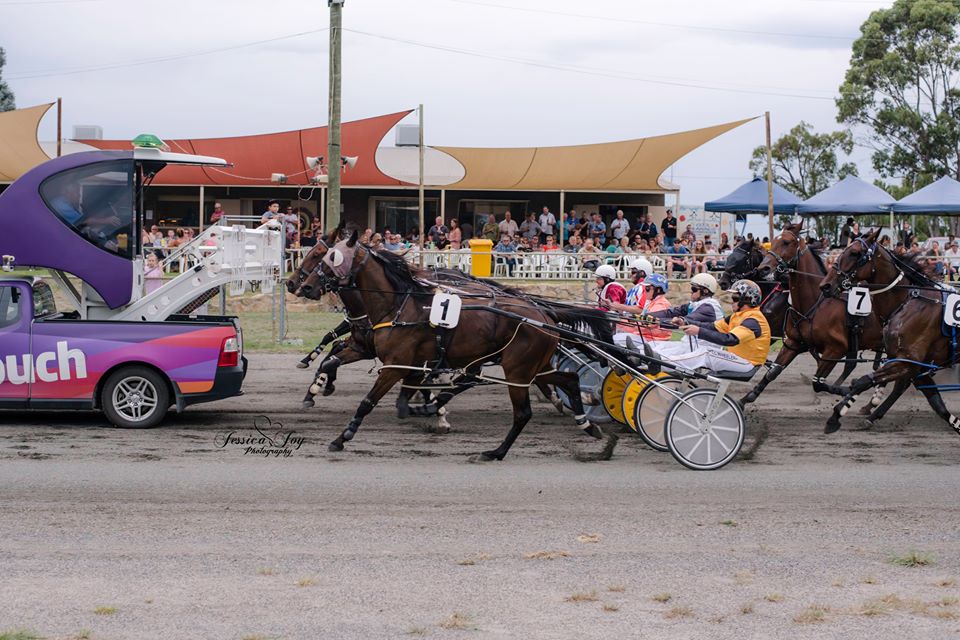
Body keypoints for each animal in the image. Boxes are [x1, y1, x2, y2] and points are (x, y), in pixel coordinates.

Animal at [300, 230, 608, 460]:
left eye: (326, 255)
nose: (301, 286)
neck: (399, 306)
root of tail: (544, 314)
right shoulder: (385, 353)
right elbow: (335, 357)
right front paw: (317, 388)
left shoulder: (395, 365)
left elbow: (367, 402)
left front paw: (342, 437)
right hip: (532, 365)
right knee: (568, 378)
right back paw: (588, 423)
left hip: (517, 369)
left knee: (521, 411)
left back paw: (495, 451)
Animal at [816, 235, 960, 436]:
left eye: (855, 253)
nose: (826, 285)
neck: (908, 301)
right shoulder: (914, 365)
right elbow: (937, 403)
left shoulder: (907, 361)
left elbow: (863, 381)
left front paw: (836, 415)